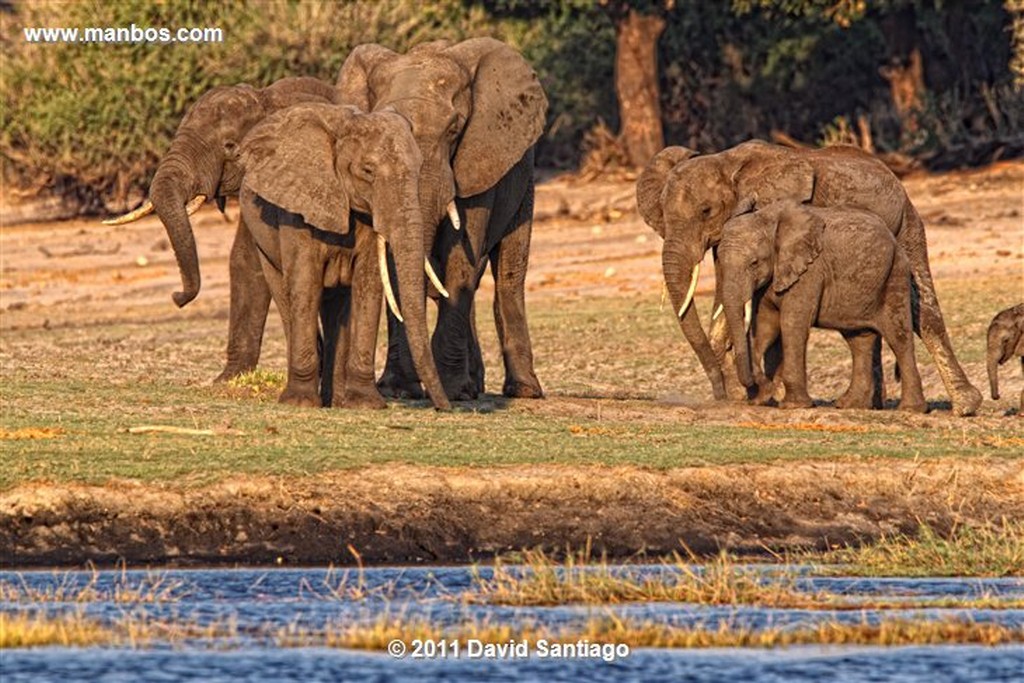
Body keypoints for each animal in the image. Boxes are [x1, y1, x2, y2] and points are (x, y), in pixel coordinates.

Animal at [239, 102, 452, 411]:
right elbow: (305, 284)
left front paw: (364, 404)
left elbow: (368, 284)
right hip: (261, 238)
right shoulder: (297, 210)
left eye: (419, 168)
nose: (444, 407)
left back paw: (336, 400)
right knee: (285, 295)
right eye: (368, 171)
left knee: (337, 307)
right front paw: (301, 403)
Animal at [335, 37, 548, 401]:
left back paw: (523, 390)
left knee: (508, 275)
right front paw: (400, 390)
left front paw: (453, 391)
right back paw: (476, 384)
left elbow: (462, 259)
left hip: (524, 179)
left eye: (454, 130)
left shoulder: (478, 160)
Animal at [712, 201, 929, 411]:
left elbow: (791, 323)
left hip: (895, 275)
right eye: (719, 263)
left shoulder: (810, 272)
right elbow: (766, 325)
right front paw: (760, 400)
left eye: (754, 263)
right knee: (859, 340)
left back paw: (911, 409)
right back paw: (850, 405)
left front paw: (793, 406)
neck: (768, 219)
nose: (759, 386)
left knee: (898, 338)